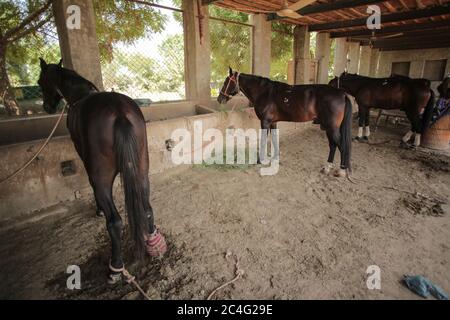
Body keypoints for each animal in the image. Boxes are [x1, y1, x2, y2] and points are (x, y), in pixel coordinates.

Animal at [37, 58, 167, 284]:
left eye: (40, 82)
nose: (47, 106)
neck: (79, 95)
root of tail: (120, 113)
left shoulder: (84, 157)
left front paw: (98, 209)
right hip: (142, 169)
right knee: (147, 208)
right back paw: (154, 243)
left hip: (103, 178)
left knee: (114, 221)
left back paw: (115, 267)